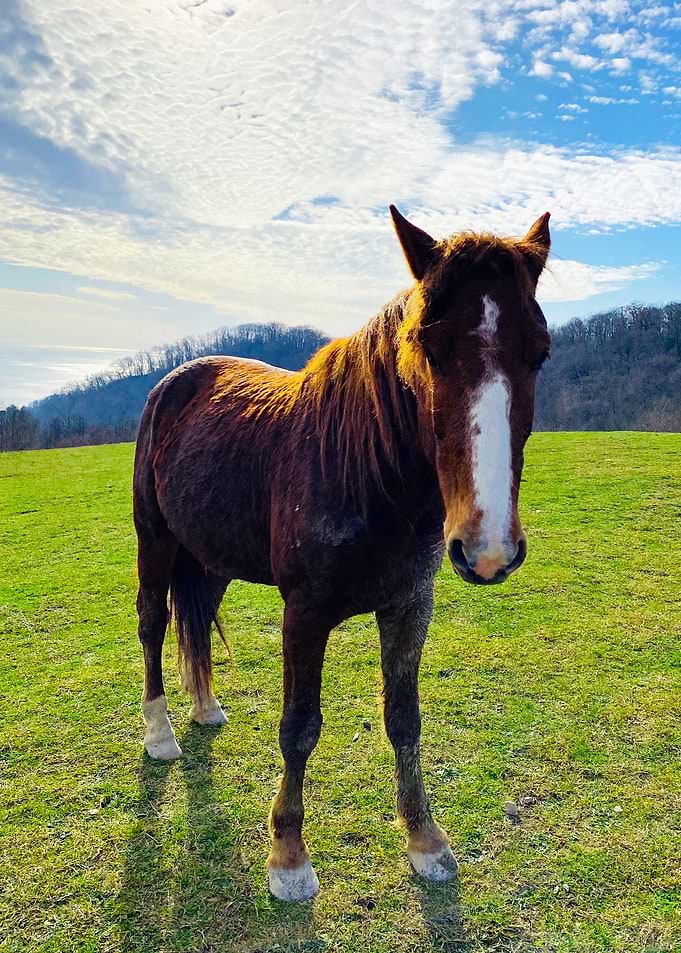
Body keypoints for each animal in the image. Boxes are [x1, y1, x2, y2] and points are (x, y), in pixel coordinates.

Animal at [133, 205, 552, 901]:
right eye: (429, 348)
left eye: (539, 354)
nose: (487, 548)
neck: (366, 474)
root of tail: (175, 382)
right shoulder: (303, 615)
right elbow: (299, 727)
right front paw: (288, 858)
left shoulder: (409, 607)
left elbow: (404, 720)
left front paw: (425, 842)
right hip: (156, 539)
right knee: (152, 622)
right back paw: (161, 734)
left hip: (213, 556)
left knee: (198, 615)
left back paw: (206, 708)